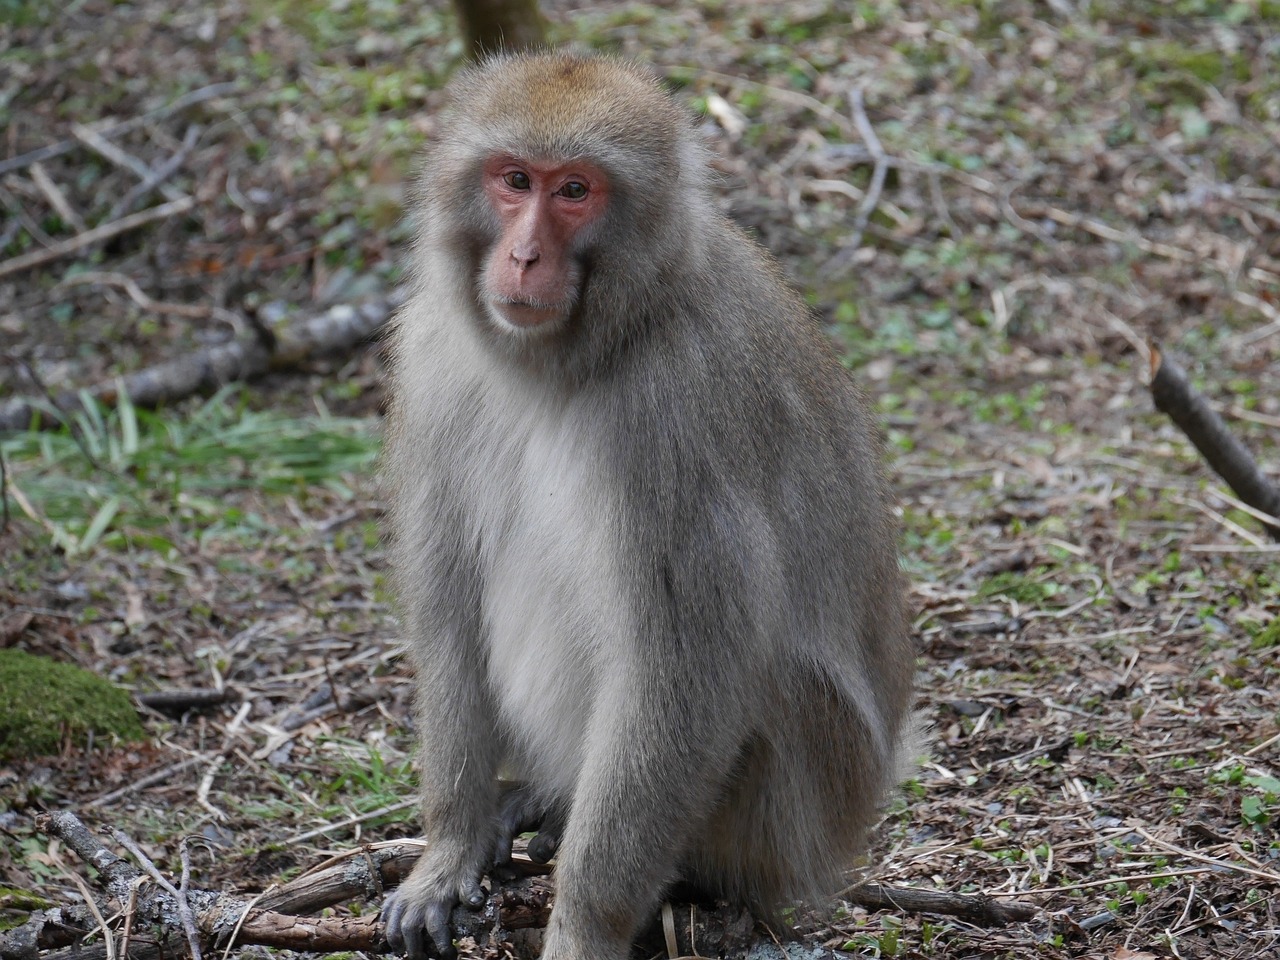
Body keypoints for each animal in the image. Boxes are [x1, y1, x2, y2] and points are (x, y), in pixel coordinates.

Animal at [378, 50, 921, 960]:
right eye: (514, 179)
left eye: (575, 191)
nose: (524, 256)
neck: (580, 350)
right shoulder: (434, 353)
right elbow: (449, 597)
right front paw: (447, 848)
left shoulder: (678, 411)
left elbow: (684, 668)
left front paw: (583, 928)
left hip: (792, 807)